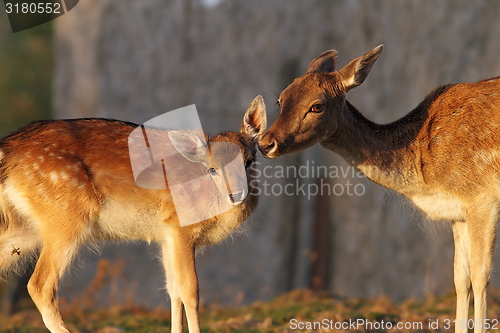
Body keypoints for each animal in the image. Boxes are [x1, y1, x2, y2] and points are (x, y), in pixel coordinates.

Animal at [0, 94, 268, 330]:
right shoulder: (180, 227)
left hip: (24, 229)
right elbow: (190, 291)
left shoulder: (166, 234)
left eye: (250, 161)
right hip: (65, 215)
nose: (237, 194)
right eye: (212, 169)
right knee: (40, 285)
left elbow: (173, 290)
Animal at [260, 46, 500, 332]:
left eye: (317, 105)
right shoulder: (458, 212)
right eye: (280, 99)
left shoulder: (481, 197)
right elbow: (460, 278)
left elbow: (480, 275)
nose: (265, 143)